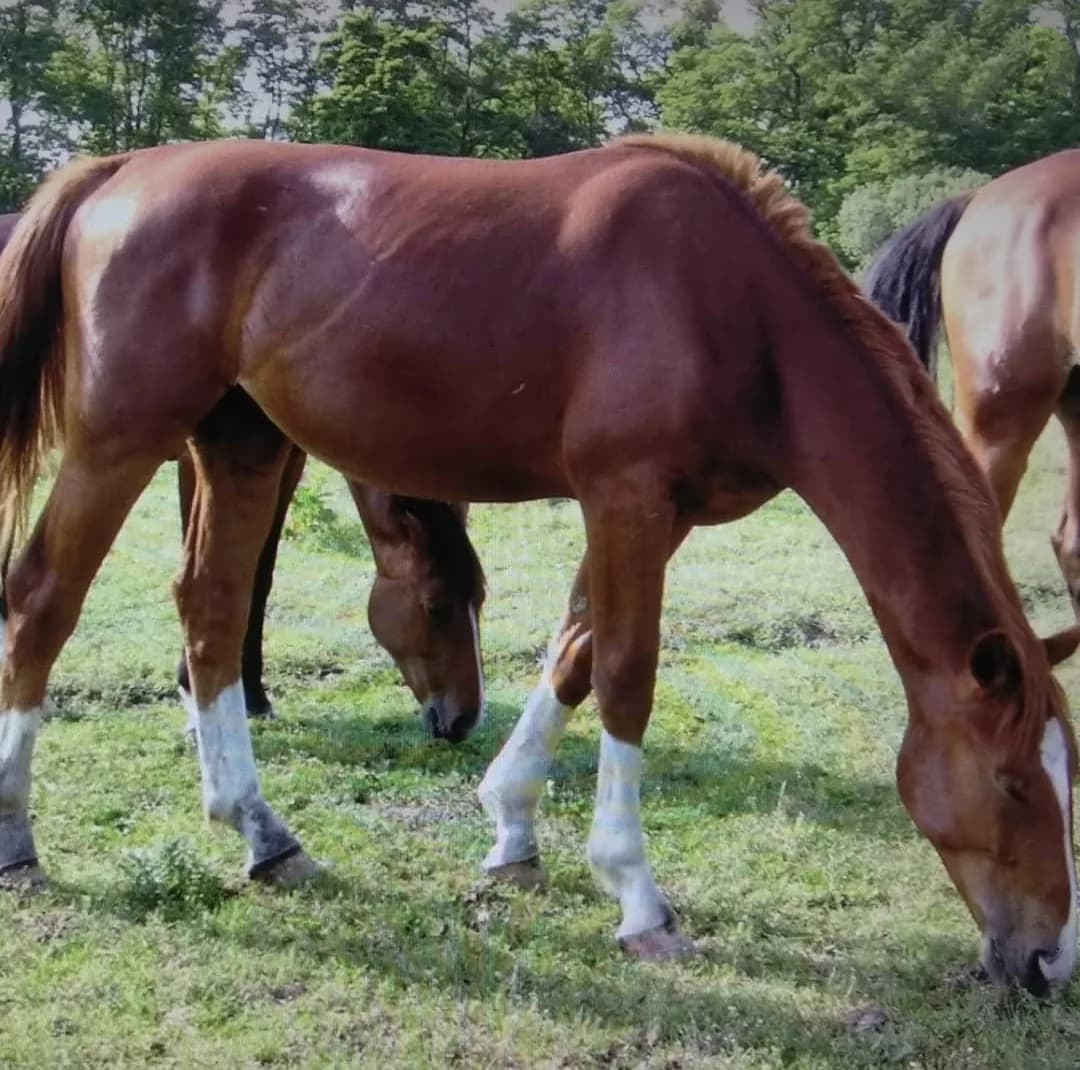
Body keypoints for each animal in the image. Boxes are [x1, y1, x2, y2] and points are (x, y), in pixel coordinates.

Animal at [0, 213, 485, 742]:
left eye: (478, 598)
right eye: (435, 605)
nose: (459, 721)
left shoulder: (283, 463)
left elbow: (259, 571)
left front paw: (251, 694)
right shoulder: (196, 462)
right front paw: (195, 699)